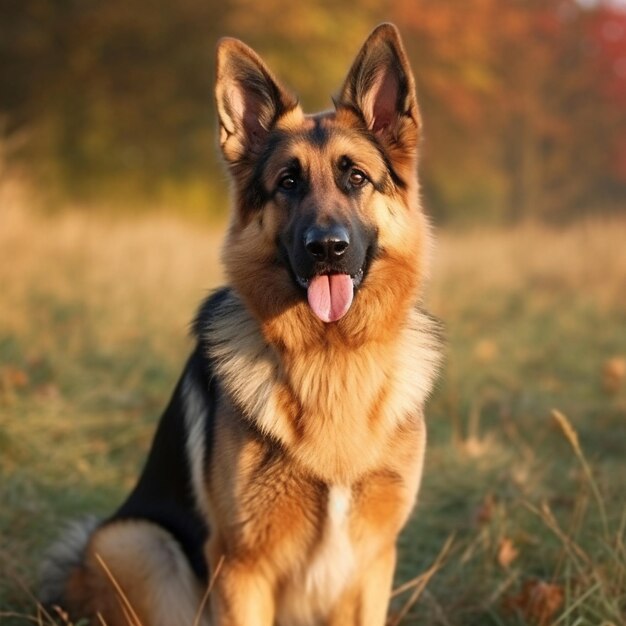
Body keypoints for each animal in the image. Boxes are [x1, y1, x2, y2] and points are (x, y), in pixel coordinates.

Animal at [40, 22, 438, 620]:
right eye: (288, 182)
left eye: (356, 177)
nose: (327, 249)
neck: (331, 358)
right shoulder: (243, 566)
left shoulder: (373, 563)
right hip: (134, 540)